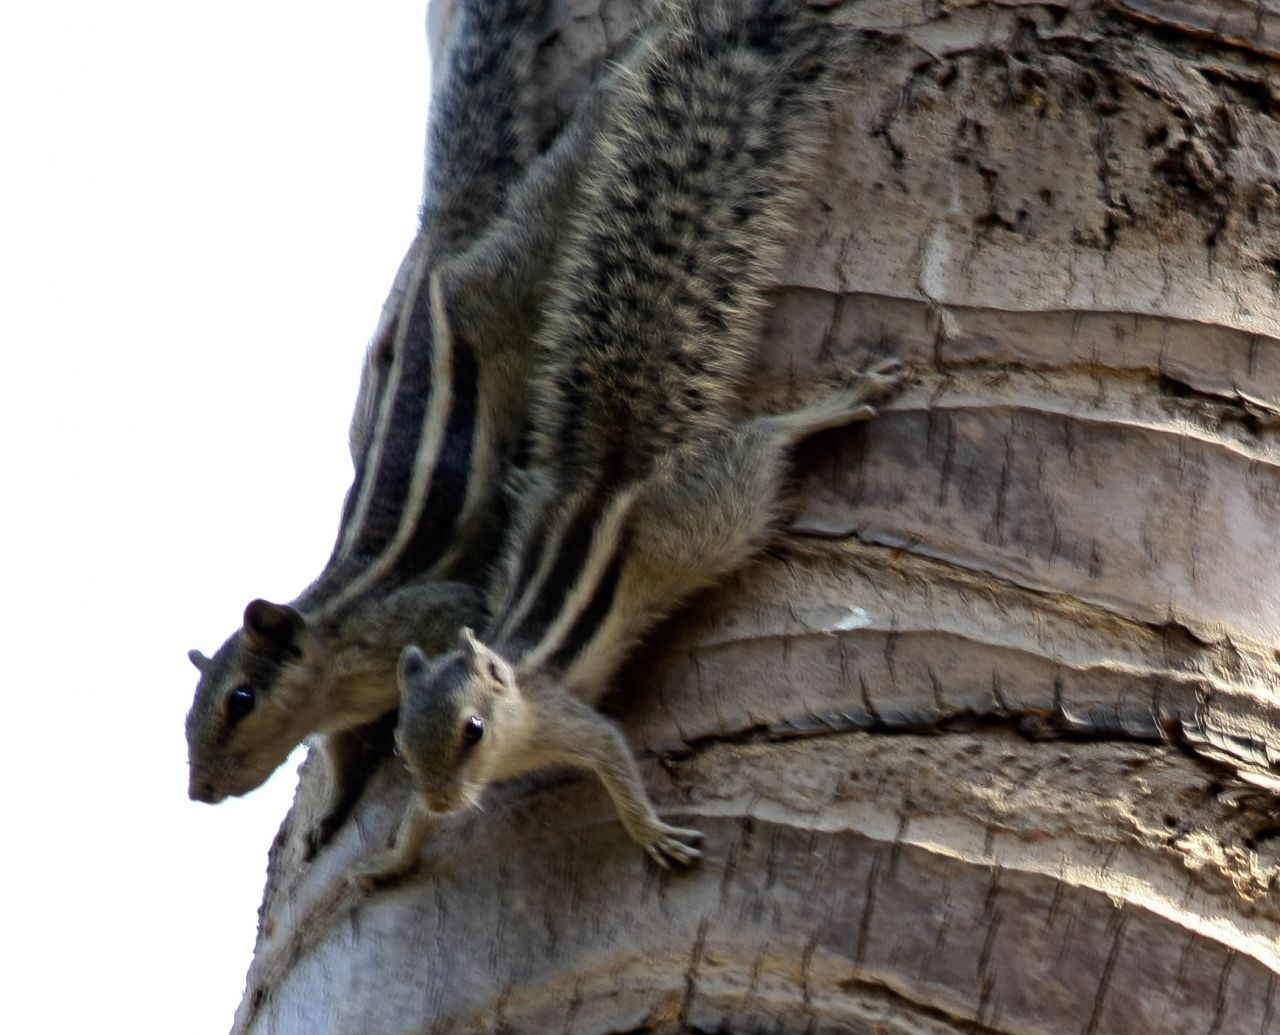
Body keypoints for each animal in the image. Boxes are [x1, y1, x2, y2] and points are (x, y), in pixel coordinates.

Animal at [183, 0, 606, 854]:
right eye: (185, 720)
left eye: (240, 698)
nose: (198, 791)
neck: (333, 648)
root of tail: (438, 241)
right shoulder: (341, 722)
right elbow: (344, 761)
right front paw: (329, 818)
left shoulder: (426, 616)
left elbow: (469, 623)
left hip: (499, 287)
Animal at [355, 0, 906, 880]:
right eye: (403, 747)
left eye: (472, 730)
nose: (443, 799)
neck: (517, 700)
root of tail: (607, 475)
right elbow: (408, 831)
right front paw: (393, 857)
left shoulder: (574, 721)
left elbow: (617, 764)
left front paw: (650, 831)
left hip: (706, 520)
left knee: (758, 448)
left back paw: (831, 405)